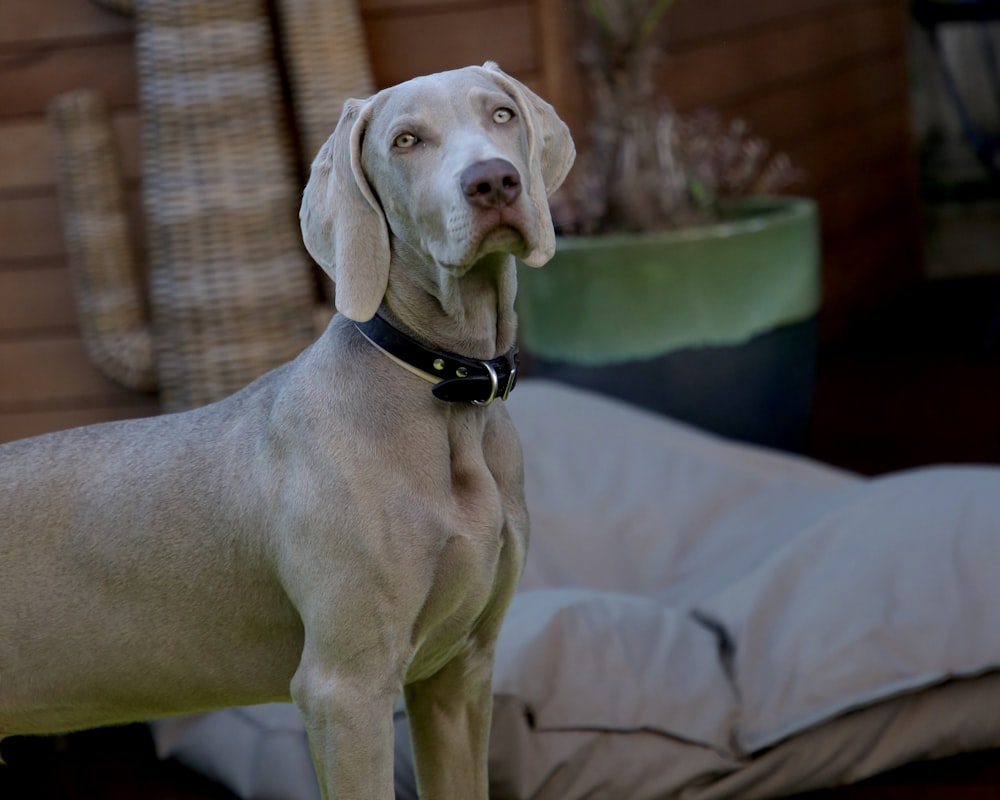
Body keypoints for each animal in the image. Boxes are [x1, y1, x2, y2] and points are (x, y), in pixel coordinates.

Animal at [0, 64, 576, 800]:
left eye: (501, 114)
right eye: (406, 140)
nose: (494, 181)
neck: (446, 396)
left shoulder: (459, 675)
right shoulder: (344, 689)